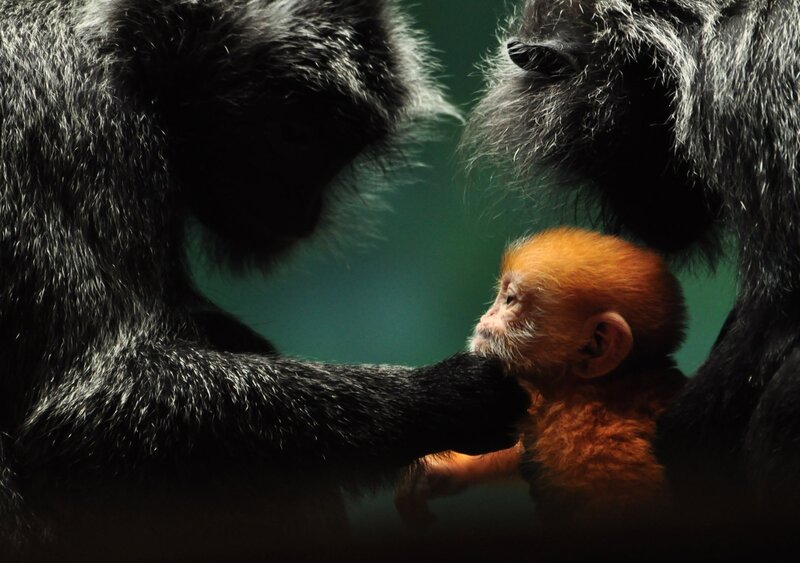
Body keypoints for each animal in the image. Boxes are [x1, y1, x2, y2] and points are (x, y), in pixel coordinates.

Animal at [0, 0, 530, 559]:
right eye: (297, 135)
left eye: (339, 150)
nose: (306, 211)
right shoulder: (74, 115)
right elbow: (85, 415)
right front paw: (444, 395)